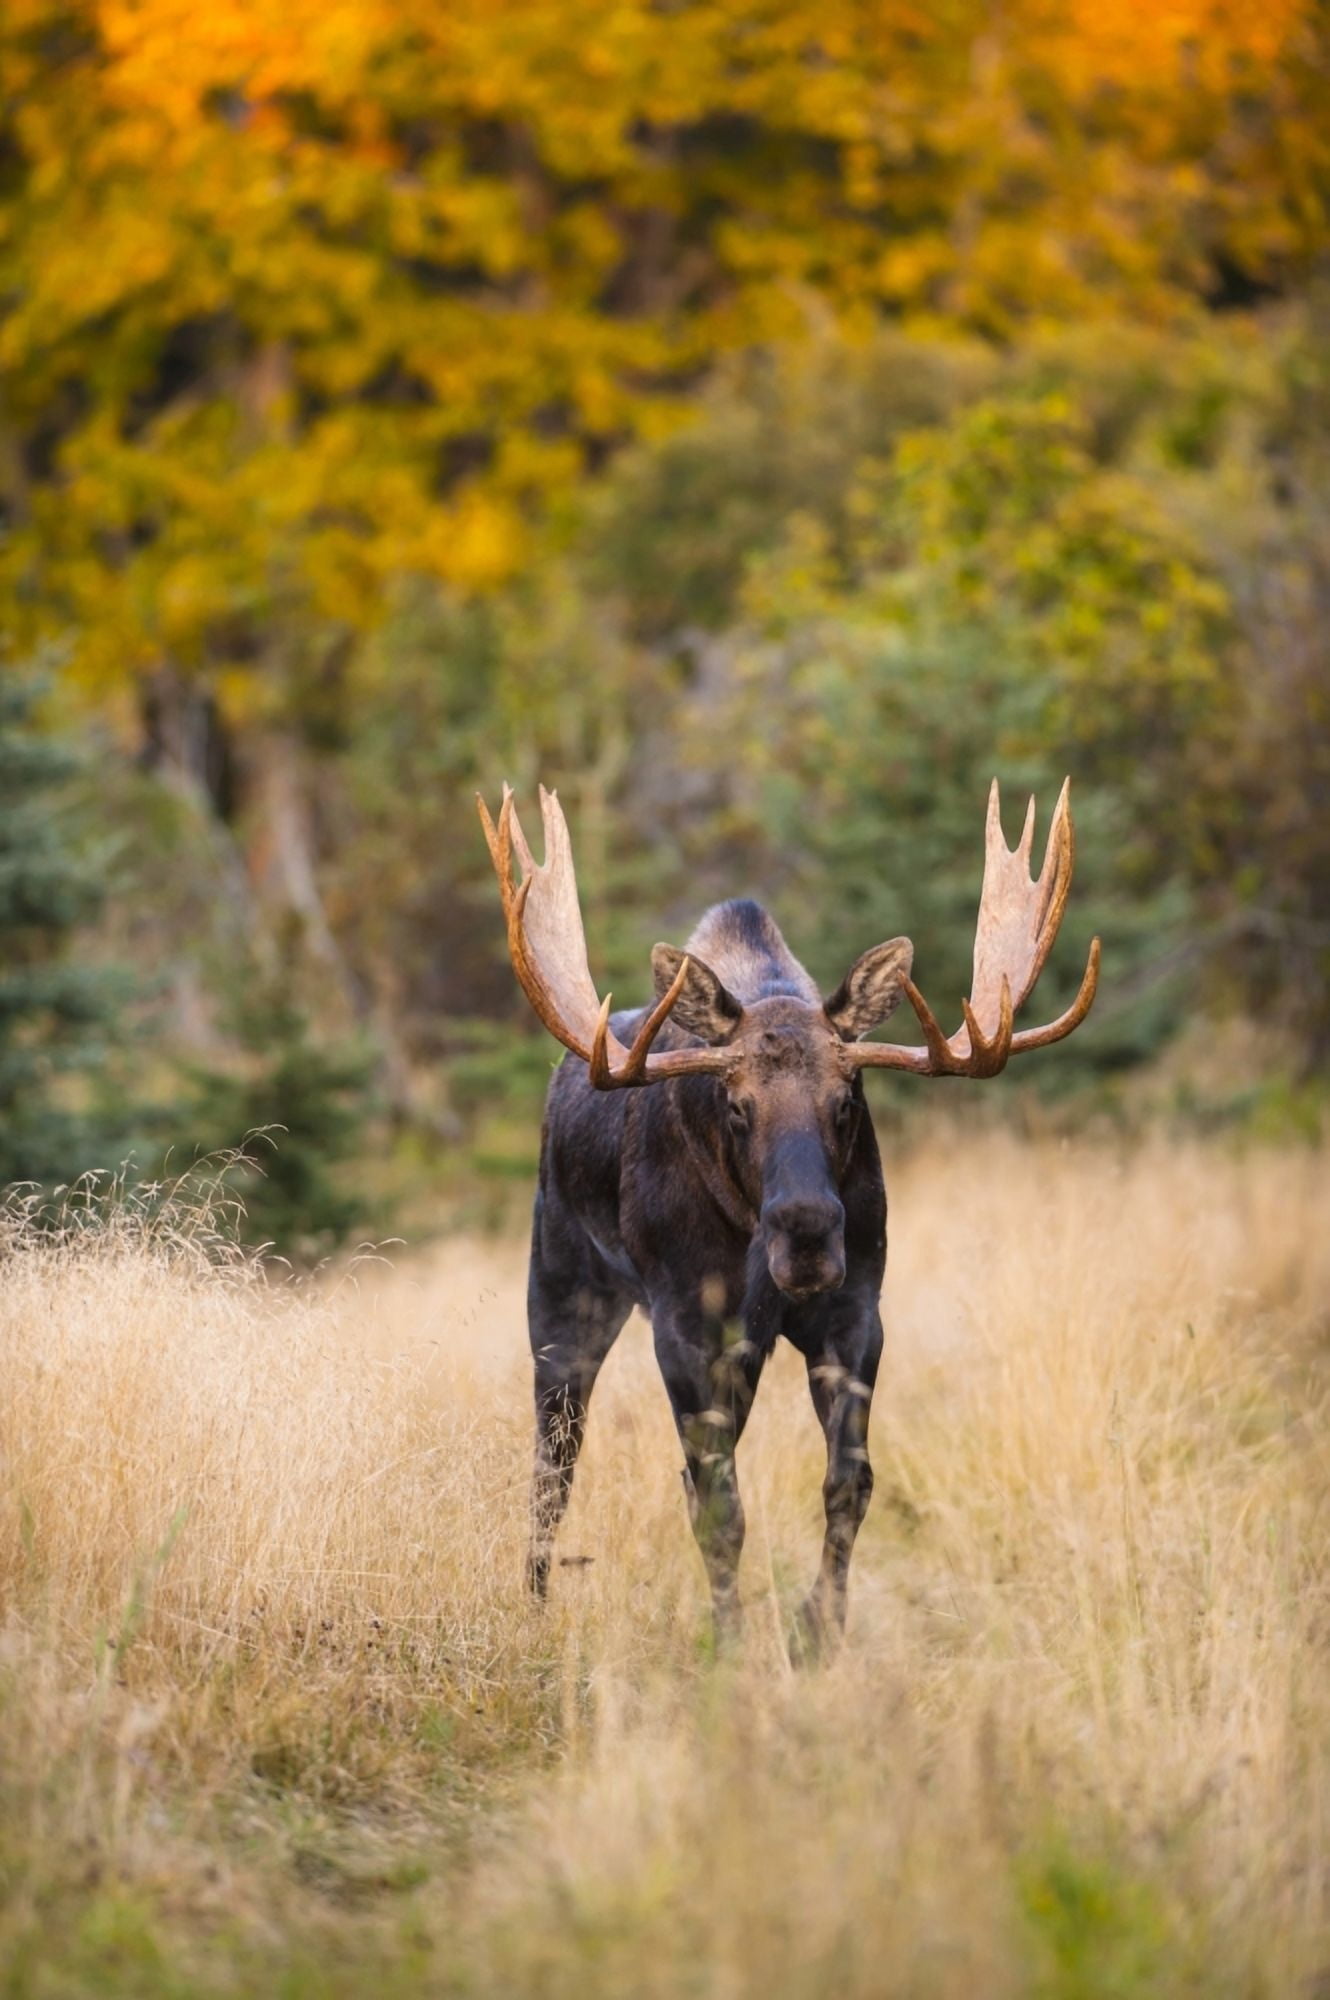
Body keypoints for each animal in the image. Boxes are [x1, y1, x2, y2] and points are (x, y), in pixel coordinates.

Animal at [478, 780, 1100, 1661]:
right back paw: (533, 1606)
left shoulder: (854, 1311)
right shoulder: (687, 1325)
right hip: (562, 1295)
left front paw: (818, 1631)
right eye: (736, 1105)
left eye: (847, 1100)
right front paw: (734, 1647)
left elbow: (849, 1482)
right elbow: (716, 1507)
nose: (806, 1232)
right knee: (551, 1467)